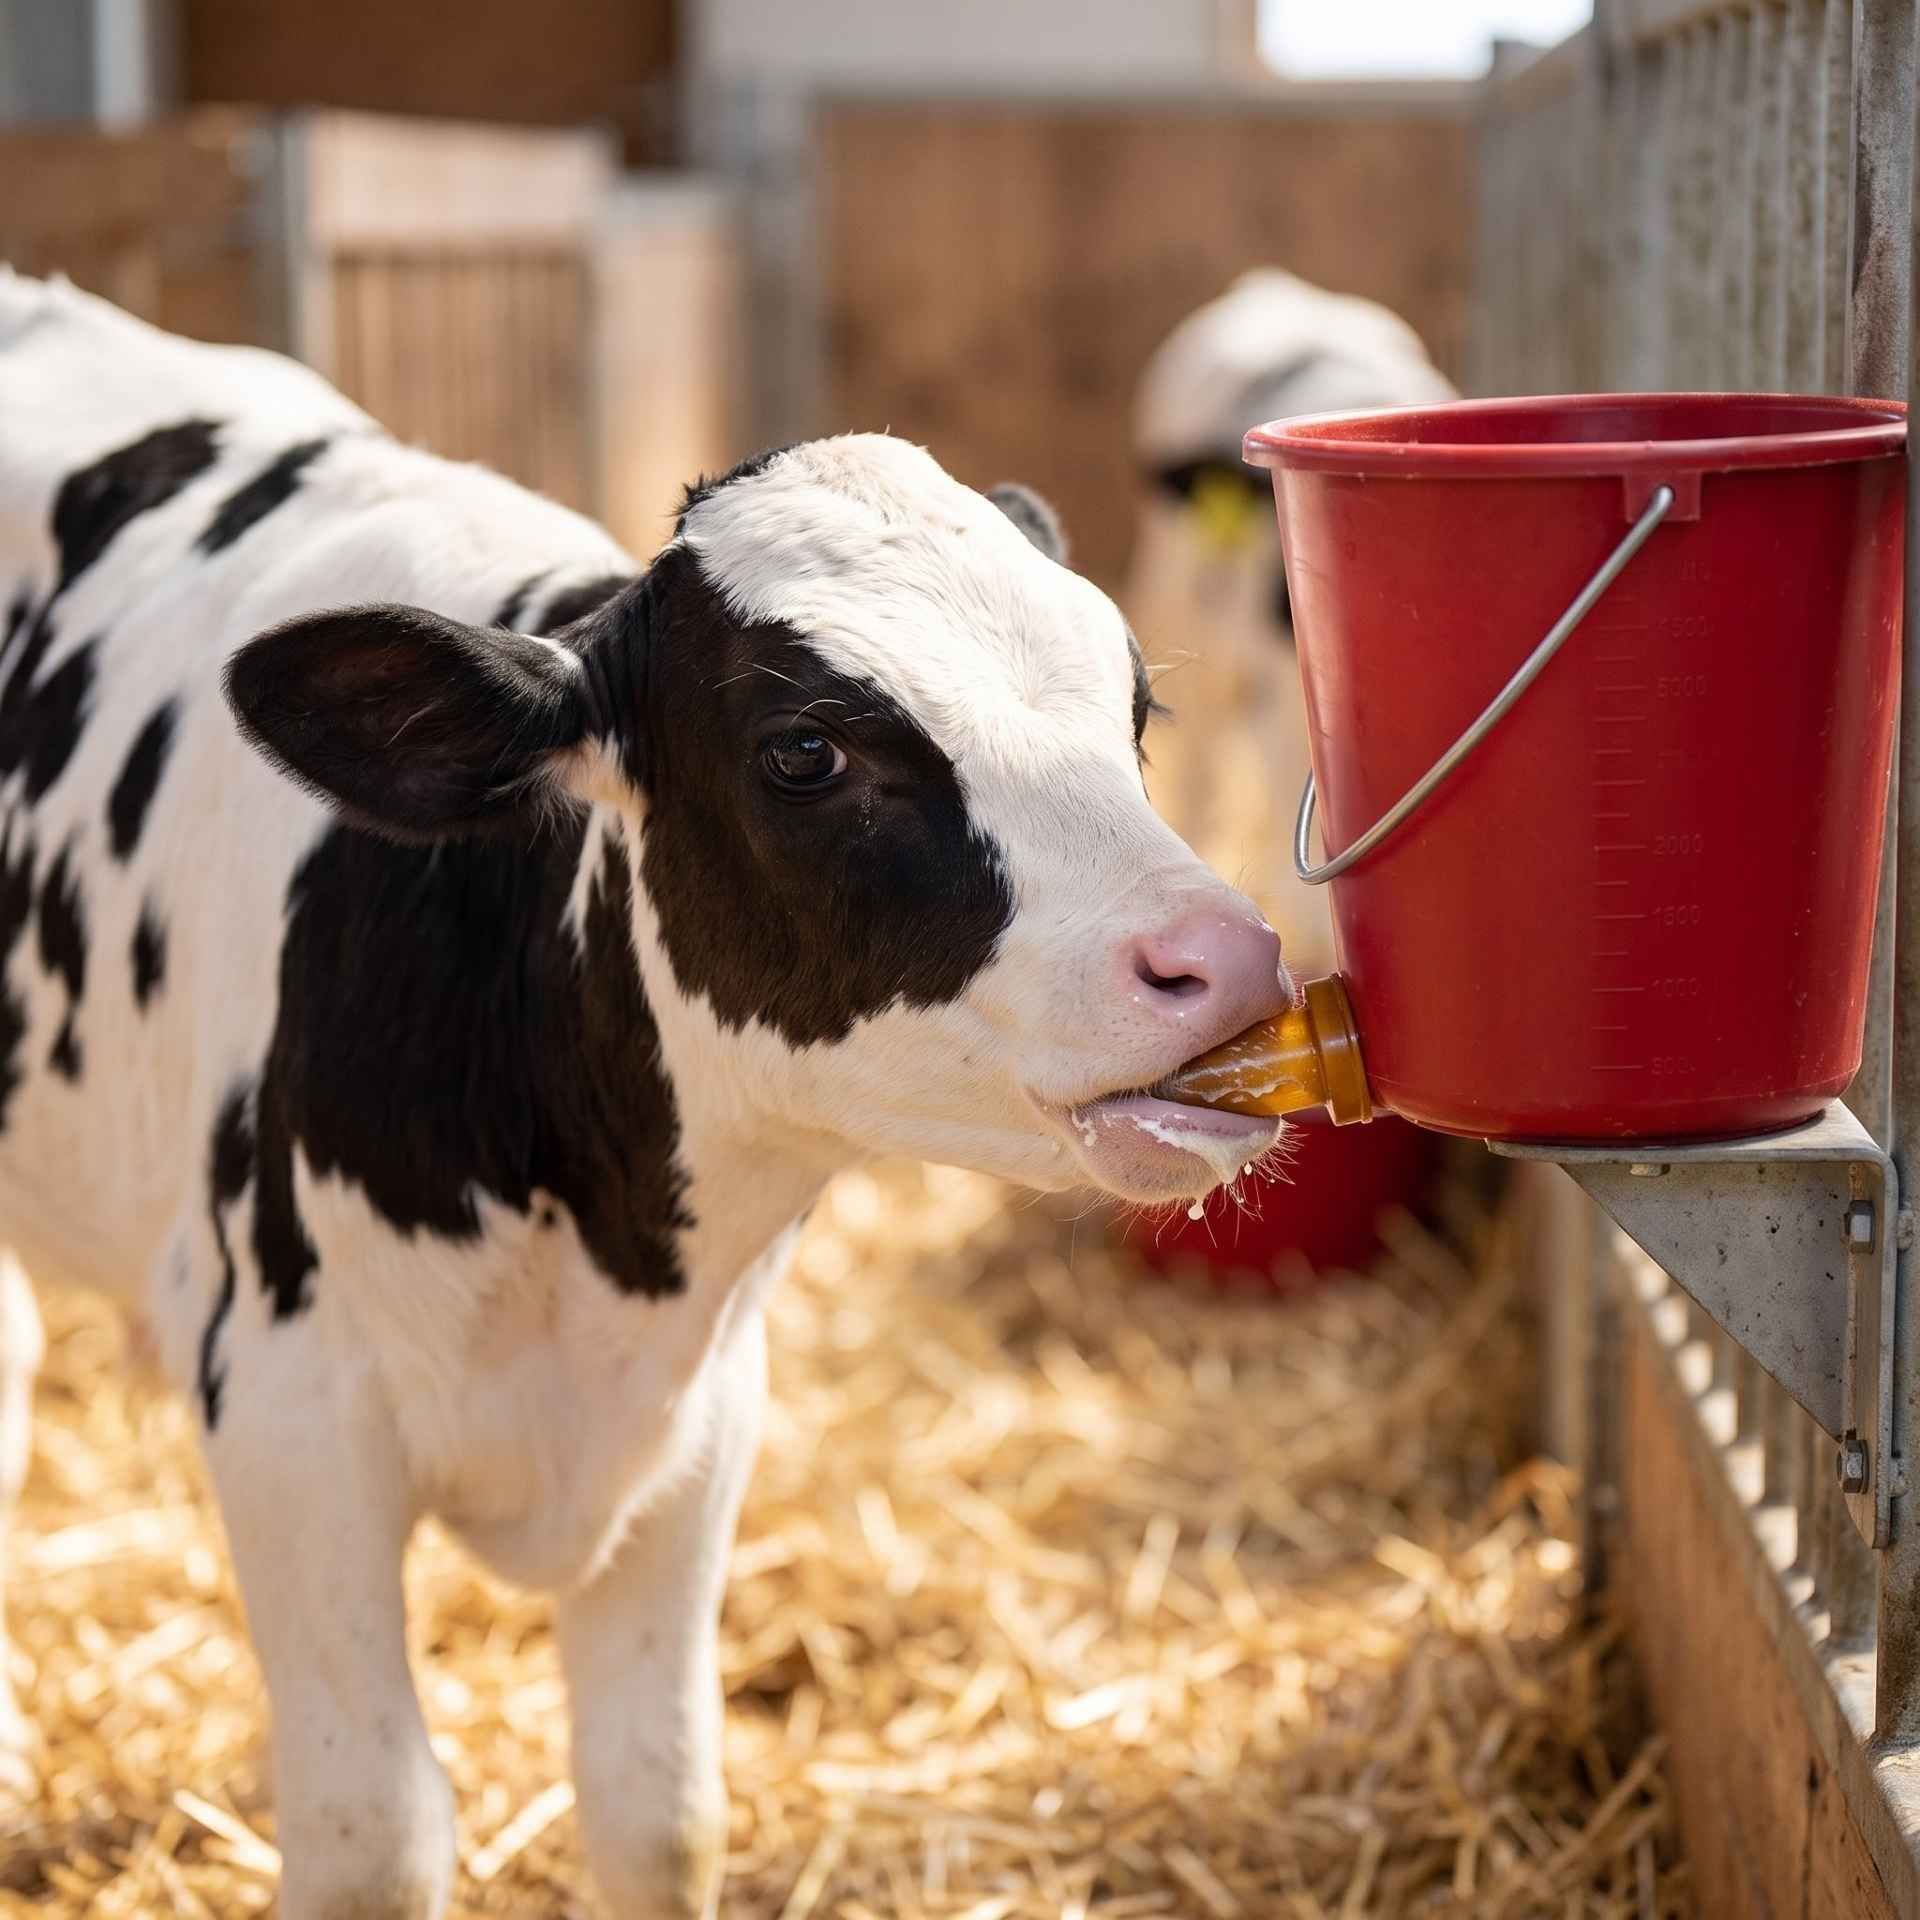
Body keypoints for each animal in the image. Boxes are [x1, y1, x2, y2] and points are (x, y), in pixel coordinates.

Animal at [0, 272, 1297, 1920]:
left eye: (1131, 710)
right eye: (803, 750)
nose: (1226, 959)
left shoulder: (701, 1418)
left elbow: (658, 1803)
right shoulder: (287, 1407)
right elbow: (374, 1828)